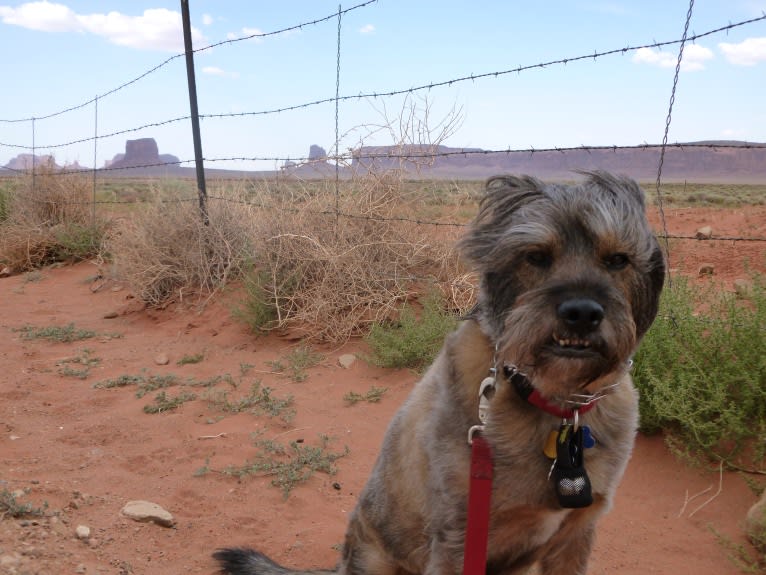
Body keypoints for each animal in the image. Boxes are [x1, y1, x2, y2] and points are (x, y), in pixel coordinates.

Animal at [214, 172, 664, 575]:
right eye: (535, 256)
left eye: (617, 260)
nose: (582, 313)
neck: (554, 402)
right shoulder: (458, 538)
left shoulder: (575, 536)